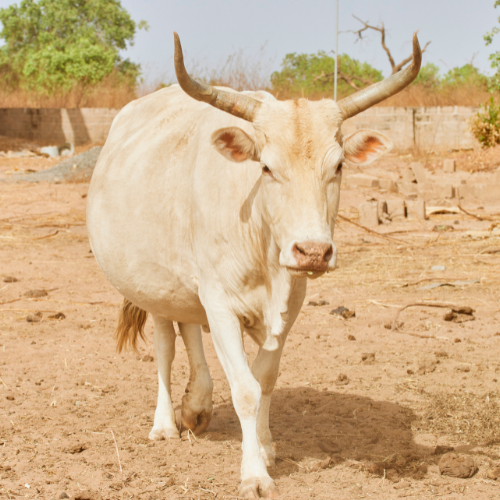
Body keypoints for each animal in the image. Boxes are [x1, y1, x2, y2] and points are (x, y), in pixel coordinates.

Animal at [87, 33, 422, 498]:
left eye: (338, 165)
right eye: (266, 166)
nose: (313, 251)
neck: (262, 244)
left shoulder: (287, 305)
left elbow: (265, 378)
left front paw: (264, 448)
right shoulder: (219, 300)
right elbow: (245, 388)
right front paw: (253, 473)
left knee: (190, 329)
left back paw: (197, 404)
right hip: (153, 288)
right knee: (166, 344)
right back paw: (165, 423)